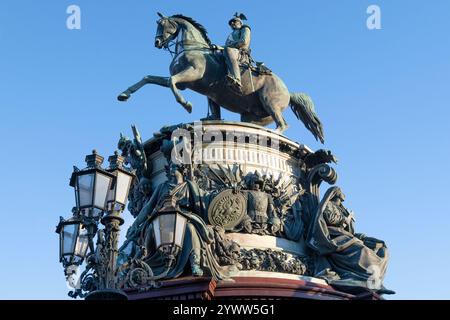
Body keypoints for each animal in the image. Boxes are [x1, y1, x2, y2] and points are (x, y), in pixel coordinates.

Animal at [118, 13, 324, 142]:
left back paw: (270, 135)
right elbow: (149, 78)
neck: (192, 47)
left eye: (164, 25)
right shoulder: (183, 81)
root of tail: (289, 91)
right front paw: (125, 94)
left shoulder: (191, 74)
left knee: (283, 125)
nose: (157, 42)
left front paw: (187, 105)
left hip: (270, 102)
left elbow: (171, 82)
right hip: (251, 115)